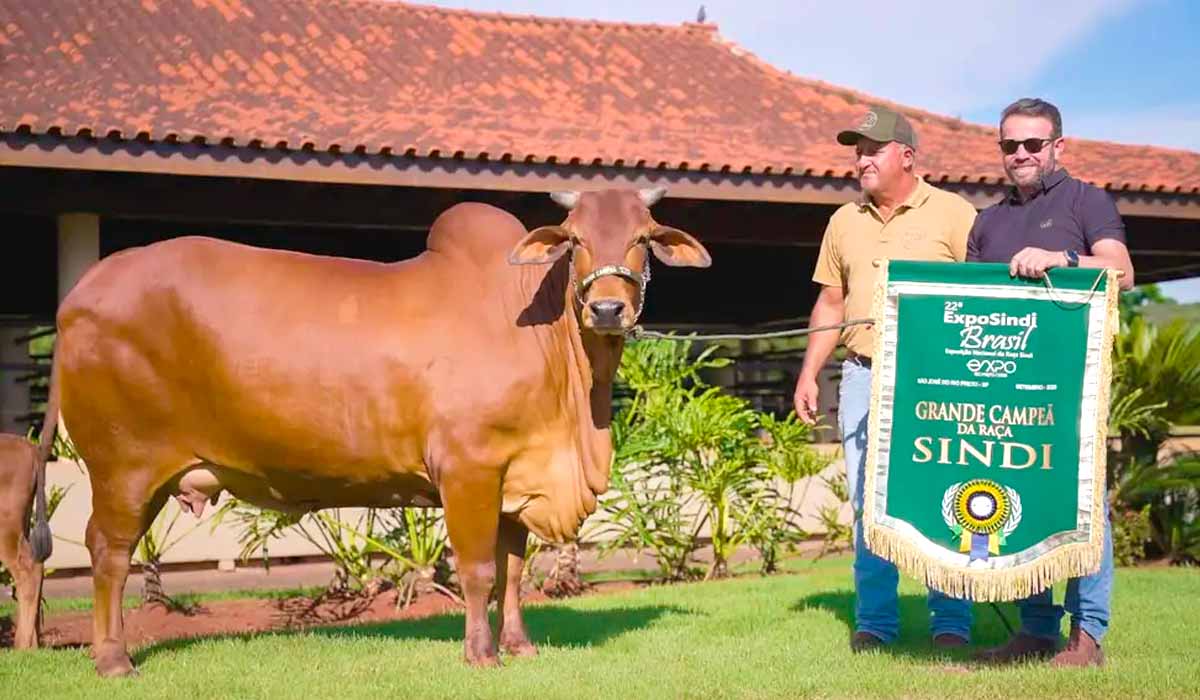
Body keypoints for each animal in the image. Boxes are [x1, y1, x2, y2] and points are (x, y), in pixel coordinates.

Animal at [41, 187, 711, 677]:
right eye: (574, 239)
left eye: (644, 237)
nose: (607, 309)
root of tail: (83, 290)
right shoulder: (469, 469)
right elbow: (478, 570)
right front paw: (481, 653)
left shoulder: (517, 477)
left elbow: (515, 572)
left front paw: (519, 645)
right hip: (124, 465)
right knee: (109, 551)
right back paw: (113, 660)